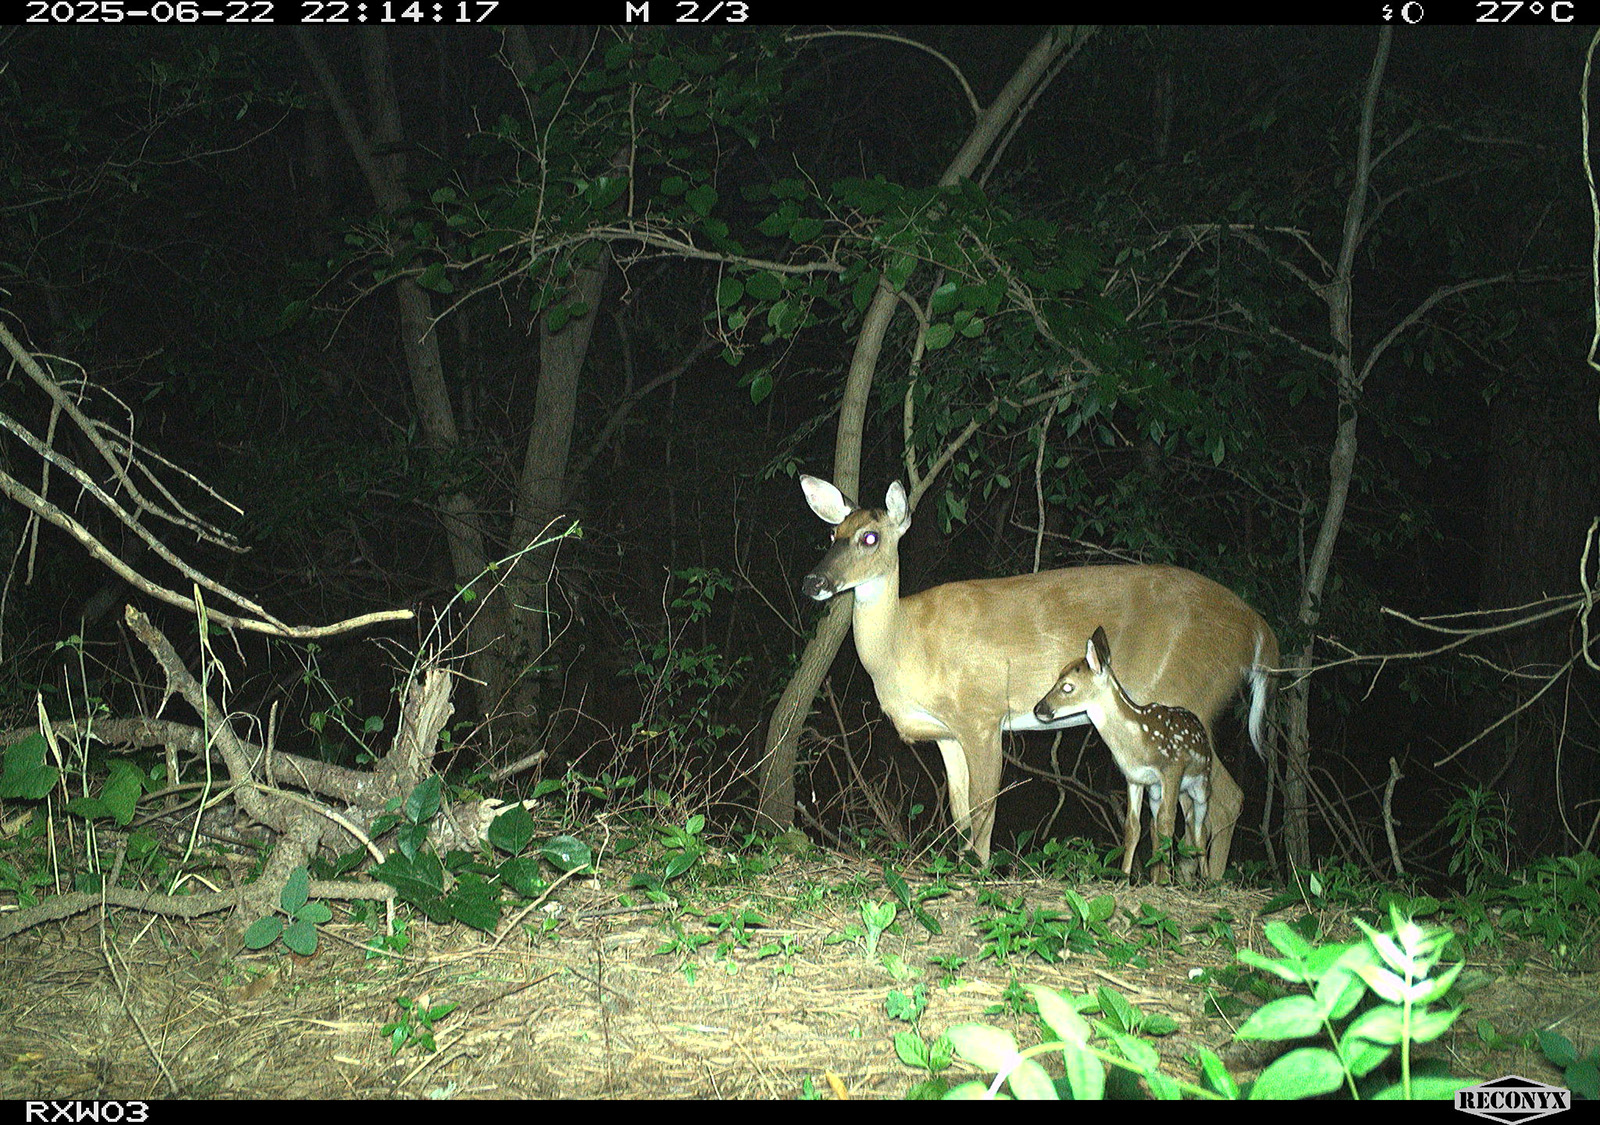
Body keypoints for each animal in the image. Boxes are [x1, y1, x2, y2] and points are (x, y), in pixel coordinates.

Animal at [1035, 626, 1218, 882]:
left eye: (1067, 686)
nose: (1038, 709)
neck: (1139, 743)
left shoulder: (1172, 768)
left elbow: (1168, 822)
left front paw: (1165, 882)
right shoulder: (1134, 778)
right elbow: (1133, 827)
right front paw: (1123, 877)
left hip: (1201, 782)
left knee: (1199, 827)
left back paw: (1207, 880)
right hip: (1159, 790)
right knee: (1163, 825)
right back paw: (1157, 877)